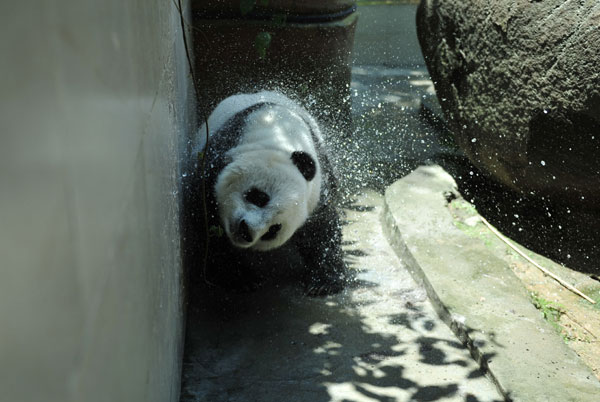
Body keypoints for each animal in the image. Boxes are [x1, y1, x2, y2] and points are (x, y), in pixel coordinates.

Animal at [185, 92, 350, 296]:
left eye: (273, 230)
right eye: (260, 197)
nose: (246, 232)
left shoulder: (317, 190)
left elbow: (321, 230)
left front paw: (324, 282)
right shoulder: (218, 156)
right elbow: (208, 226)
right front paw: (239, 278)